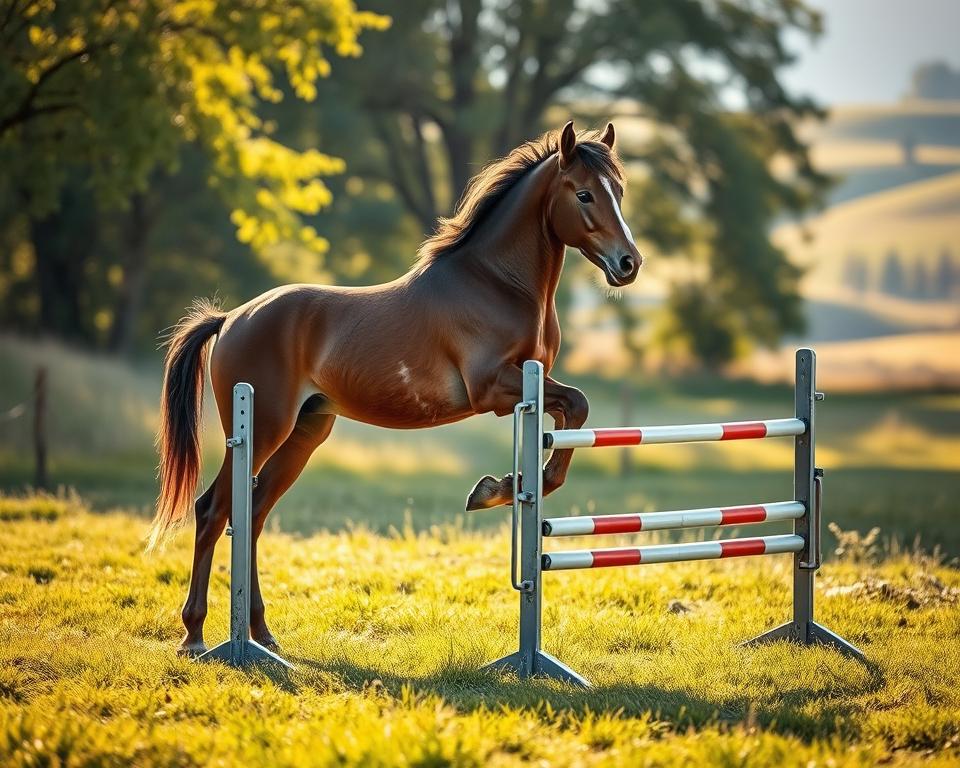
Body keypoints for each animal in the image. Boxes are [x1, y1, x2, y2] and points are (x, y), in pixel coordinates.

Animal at [150, 120, 642, 655]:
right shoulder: (494, 389)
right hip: (262, 429)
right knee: (213, 510)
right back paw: (194, 636)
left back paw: (262, 633)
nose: (629, 263)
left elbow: (573, 413)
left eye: (620, 191)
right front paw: (495, 490)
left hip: (304, 434)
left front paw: (502, 487)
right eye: (584, 194)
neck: (496, 283)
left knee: (253, 514)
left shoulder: (529, 386)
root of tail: (231, 319)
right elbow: (575, 404)